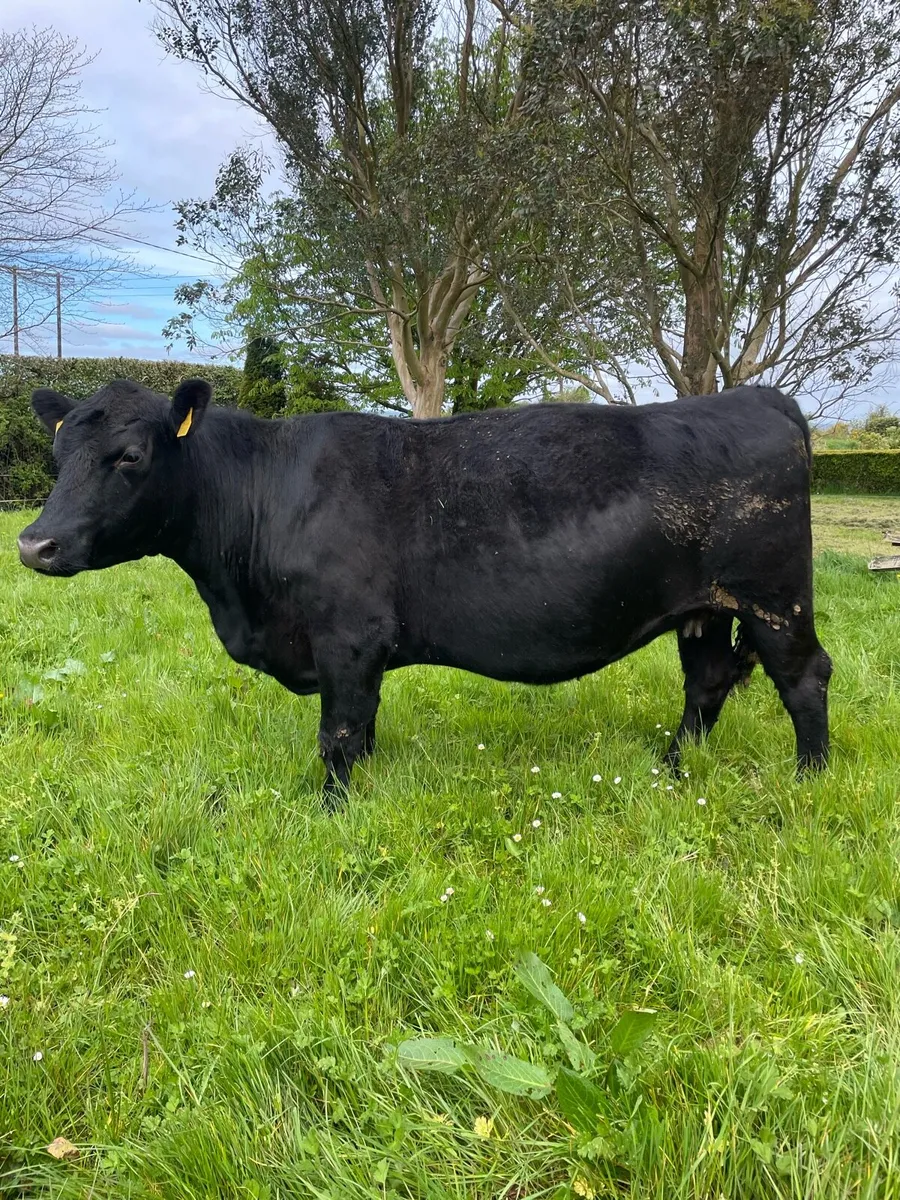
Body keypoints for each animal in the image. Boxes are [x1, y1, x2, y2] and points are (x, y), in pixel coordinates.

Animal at [17, 378, 831, 804]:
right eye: (58, 452)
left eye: (128, 455)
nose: (33, 544)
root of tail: (755, 396)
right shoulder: (357, 651)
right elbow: (364, 727)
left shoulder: (348, 636)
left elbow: (338, 734)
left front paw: (332, 810)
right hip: (704, 609)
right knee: (706, 682)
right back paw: (671, 768)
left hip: (775, 596)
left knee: (804, 678)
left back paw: (809, 781)